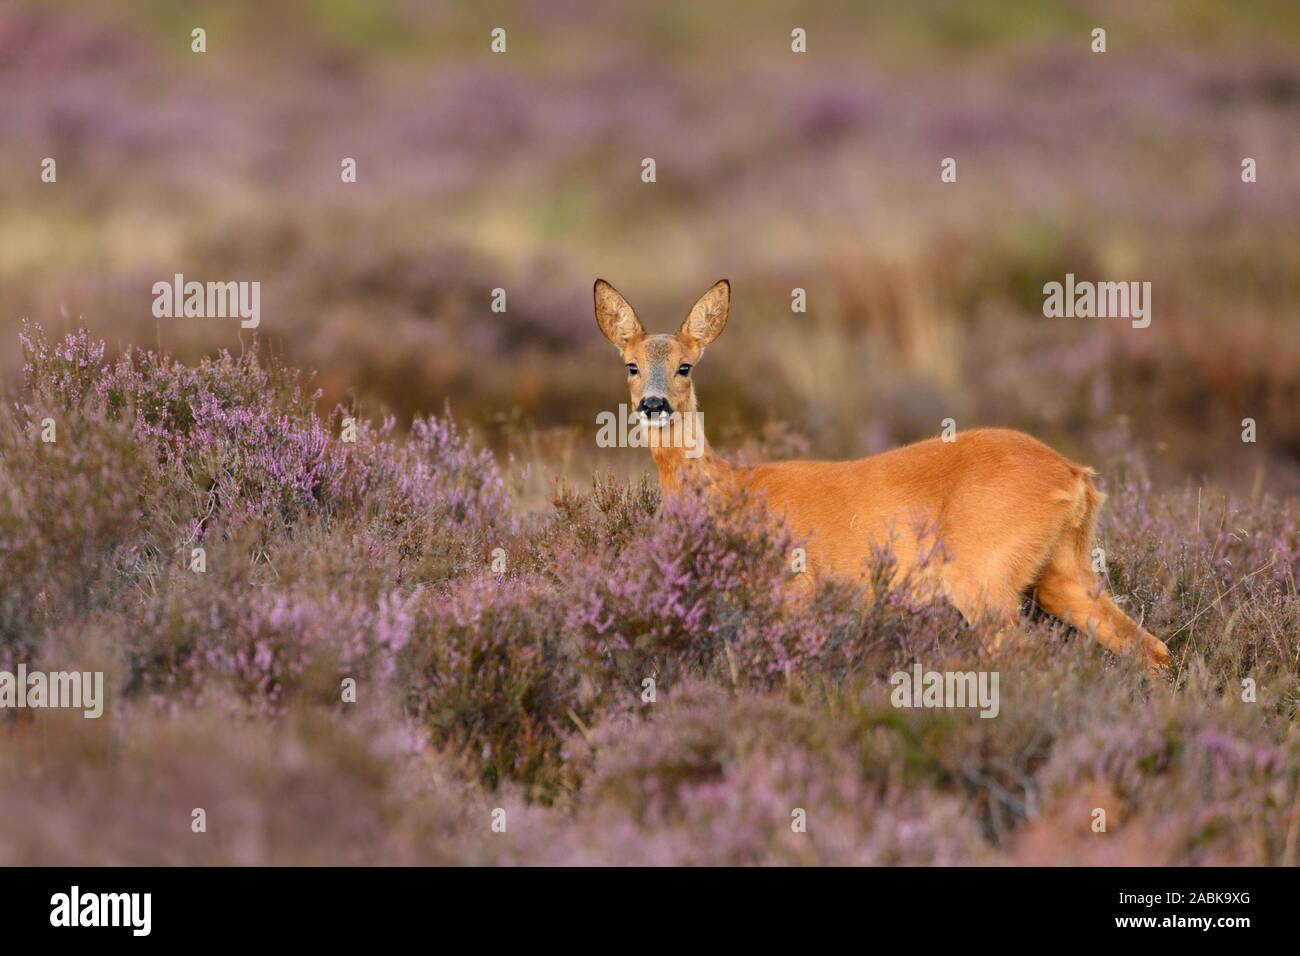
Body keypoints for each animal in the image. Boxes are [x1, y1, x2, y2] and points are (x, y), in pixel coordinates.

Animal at [595, 277, 1175, 671]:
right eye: (631, 365)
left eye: (685, 366)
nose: (653, 404)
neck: (731, 489)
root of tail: (1076, 477)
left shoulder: (796, 591)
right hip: (1062, 570)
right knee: (1150, 647)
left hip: (984, 576)